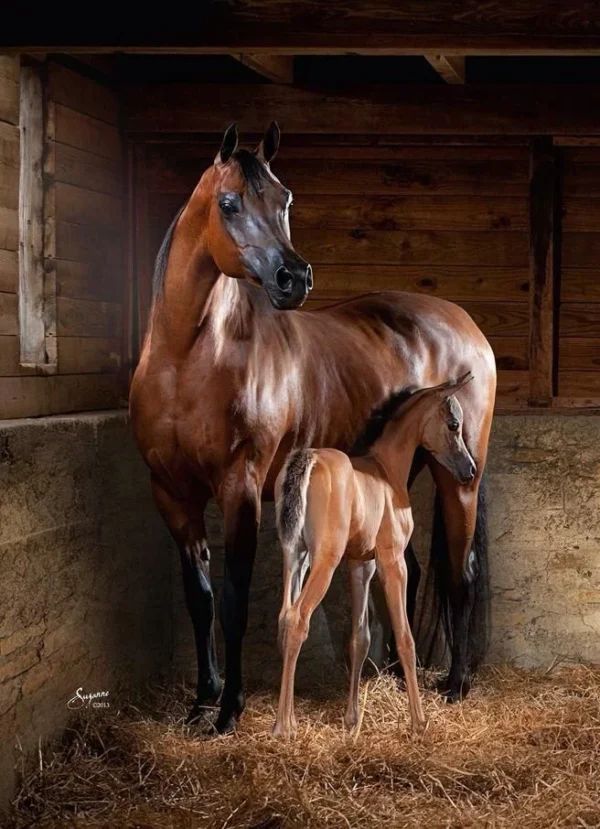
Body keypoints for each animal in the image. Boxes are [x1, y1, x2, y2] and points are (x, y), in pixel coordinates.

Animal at [273, 373, 475, 739]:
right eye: (454, 424)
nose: (469, 469)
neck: (385, 469)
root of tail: (306, 459)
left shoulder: (361, 564)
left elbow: (360, 638)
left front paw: (352, 720)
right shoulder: (392, 561)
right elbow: (405, 638)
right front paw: (419, 721)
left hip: (295, 557)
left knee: (284, 618)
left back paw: (289, 719)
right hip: (324, 561)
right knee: (297, 619)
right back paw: (283, 727)